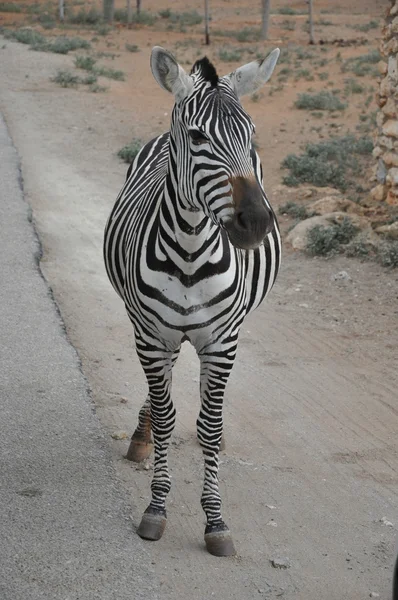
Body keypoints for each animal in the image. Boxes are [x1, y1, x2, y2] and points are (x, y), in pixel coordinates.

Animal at [104, 47, 282, 556]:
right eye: (199, 136)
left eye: (252, 135)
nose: (256, 222)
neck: (188, 252)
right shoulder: (151, 336)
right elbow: (167, 419)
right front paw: (156, 507)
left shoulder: (222, 342)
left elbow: (210, 424)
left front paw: (216, 520)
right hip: (150, 327)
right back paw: (142, 433)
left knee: (206, 406)